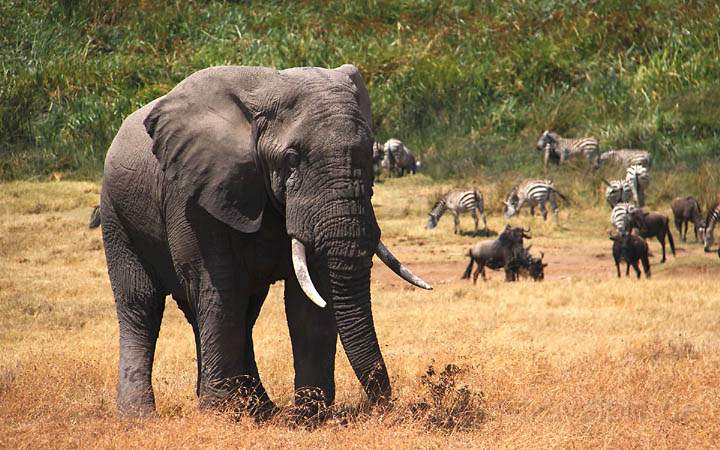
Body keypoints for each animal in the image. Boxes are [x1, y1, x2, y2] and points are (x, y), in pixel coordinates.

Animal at [93, 65, 434, 420]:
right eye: (292, 158)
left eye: (370, 153)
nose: (380, 405)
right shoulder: (194, 194)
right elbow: (219, 288)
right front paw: (219, 414)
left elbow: (312, 298)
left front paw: (310, 416)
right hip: (116, 213)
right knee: (142, 303)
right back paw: (140, 416)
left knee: (239, 310)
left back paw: (260, 410)